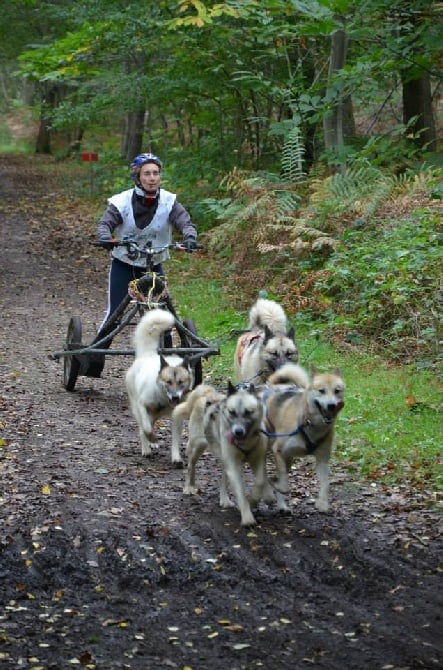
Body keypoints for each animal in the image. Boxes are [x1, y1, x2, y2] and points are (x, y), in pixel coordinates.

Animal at [125, 312, 193, 464]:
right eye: (168, 382)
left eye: (181, 382)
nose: (175, 397)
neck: (163, 399)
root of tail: (147, 354)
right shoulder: (142, 405)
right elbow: (146, 428)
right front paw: (152, 438)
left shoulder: (176, 417)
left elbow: (176, 440)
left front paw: (176, 458)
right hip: (137, 407)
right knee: (143, 427)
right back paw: (147, 447)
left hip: (154, 414)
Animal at [175, 380, 276, 528]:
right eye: (232, 412)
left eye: (248, 412)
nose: (237, 432)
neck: (246, 443)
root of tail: (208, 394)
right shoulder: (233, 465)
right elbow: (240, 492)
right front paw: (247, 517)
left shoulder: (257, 459)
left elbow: (260, 481)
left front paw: (255, 499)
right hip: (199, 444)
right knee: (191, 465)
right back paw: (189, 486)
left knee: (224, 476)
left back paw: (225, 499)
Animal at [264, 364, 346, 512]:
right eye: (321, 391)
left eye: (337, 391)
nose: (331, 405)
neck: (308, 423)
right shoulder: (278, 450)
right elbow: (283, 483)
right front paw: (279, 485)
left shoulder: (322, 459)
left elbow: (326, 483)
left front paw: (323, 503)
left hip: (288, 459)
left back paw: (282, 505)